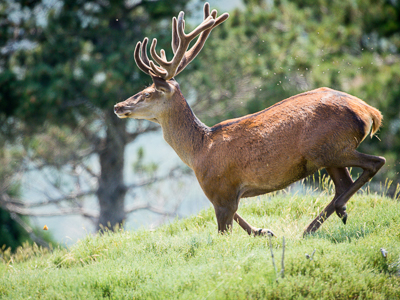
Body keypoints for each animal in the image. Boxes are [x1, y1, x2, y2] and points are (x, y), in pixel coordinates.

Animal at [115, 2, 384, 237]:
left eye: (148, 93)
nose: (119, 106)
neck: (199, 151)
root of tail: (369, 112)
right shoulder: (223, 195)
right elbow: (239, 218)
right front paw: (263, 231)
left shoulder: (220, 189)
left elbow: (224, 229)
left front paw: (258, 233)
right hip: (328, 154)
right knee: (344, 183)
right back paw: (324, 220)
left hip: (330, 147)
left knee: (375, 162)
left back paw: (325, 218)